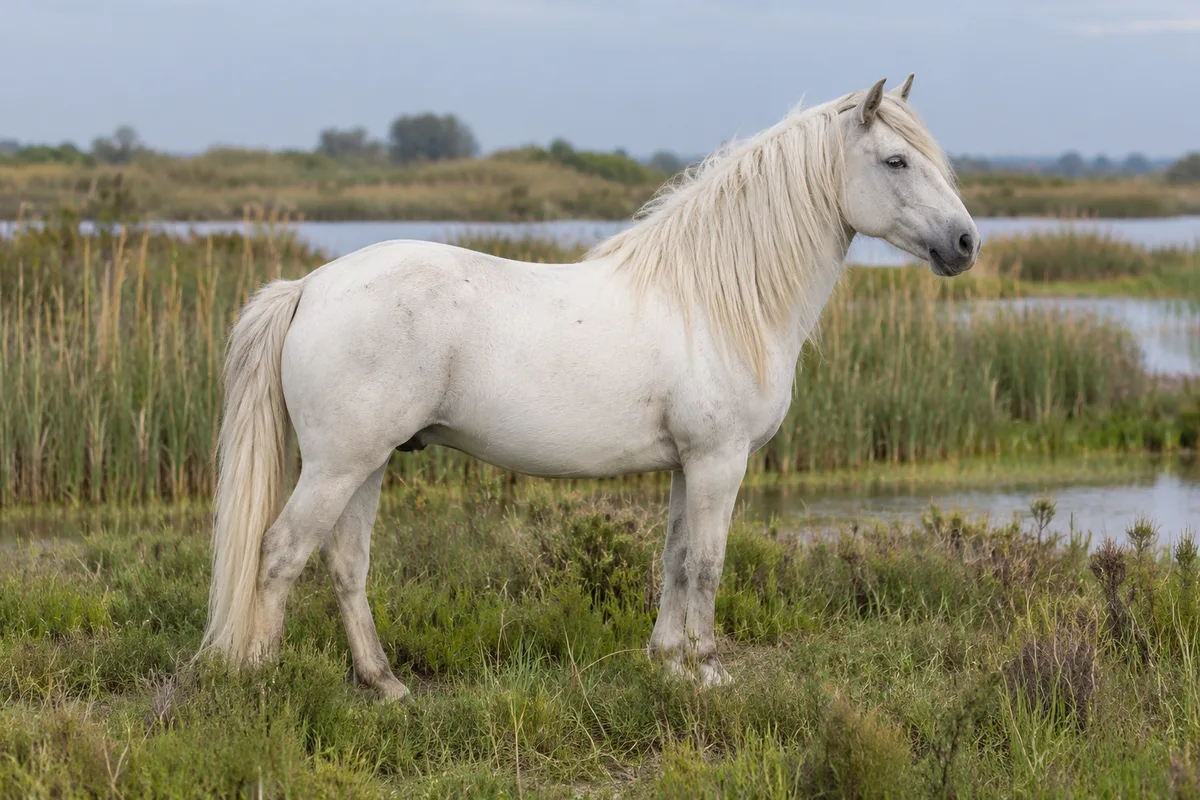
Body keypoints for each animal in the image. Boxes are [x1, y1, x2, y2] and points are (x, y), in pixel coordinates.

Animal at [200, 75, 979, 700]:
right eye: (896, 160)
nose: (967, 244)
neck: (714, 301)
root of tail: (309, 286)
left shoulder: (686, 466)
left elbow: (673, 560)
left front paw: (667, 661)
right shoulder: (719, 461)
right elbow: (706, 565)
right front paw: (707, 670)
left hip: (367, 463)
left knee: (345, 563)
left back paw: (384, 683)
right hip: (339, 465)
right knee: (280, 554)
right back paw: (261, 678)